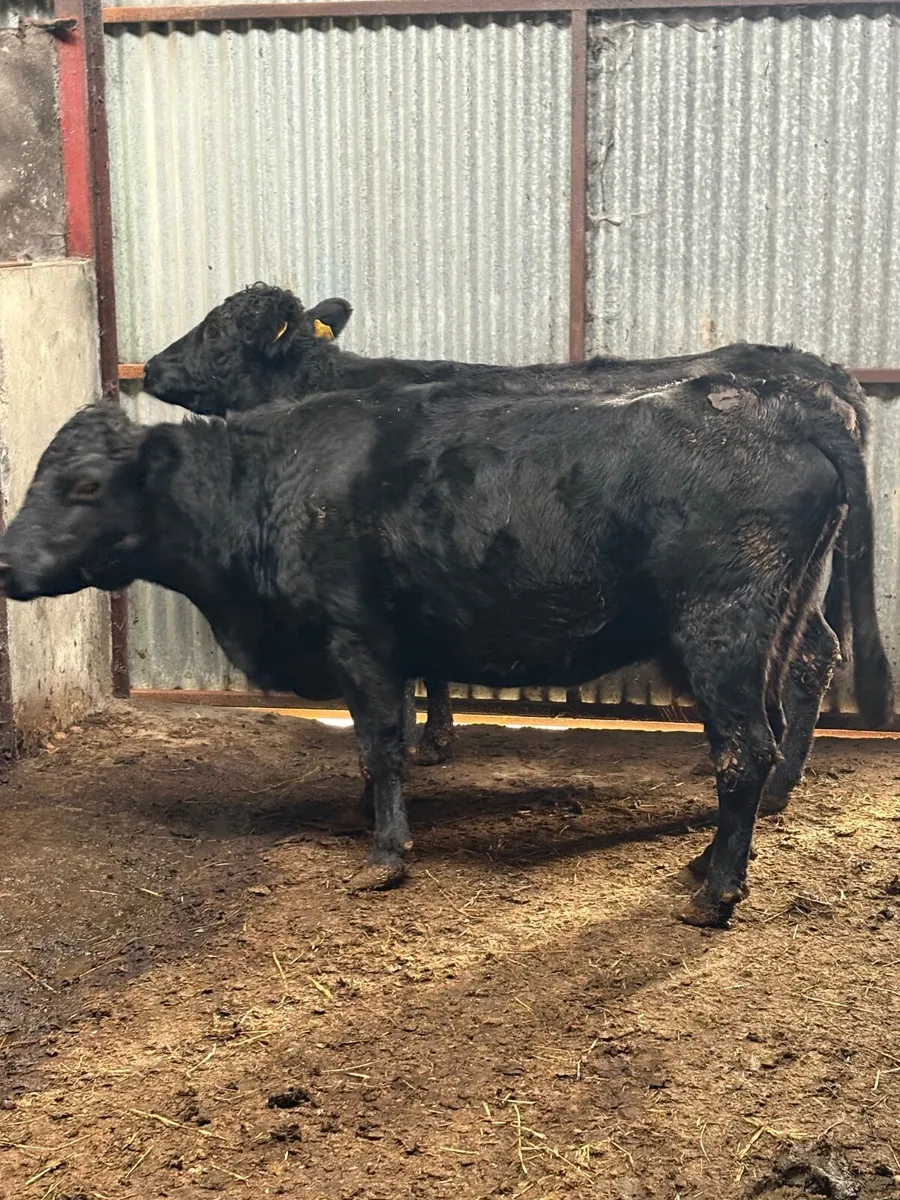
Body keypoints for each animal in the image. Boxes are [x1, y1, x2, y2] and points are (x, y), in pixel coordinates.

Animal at [0, 373, 890, 927]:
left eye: (84, 485)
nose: (7, 561)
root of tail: (781, 403)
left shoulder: (360, 642)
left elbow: (381, 743)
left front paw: (385, 852)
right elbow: (376, 747)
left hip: (721, 627)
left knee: (745, 747)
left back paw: (716, 891)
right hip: (777, 619)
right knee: (786, 699)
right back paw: (713, 855)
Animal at [142, 284, 884, 812]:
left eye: (215, 329)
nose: (149, 366)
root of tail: (817, 376)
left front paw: (420, 744)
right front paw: (436, 738)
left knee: (809, 659)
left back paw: (778, 787)